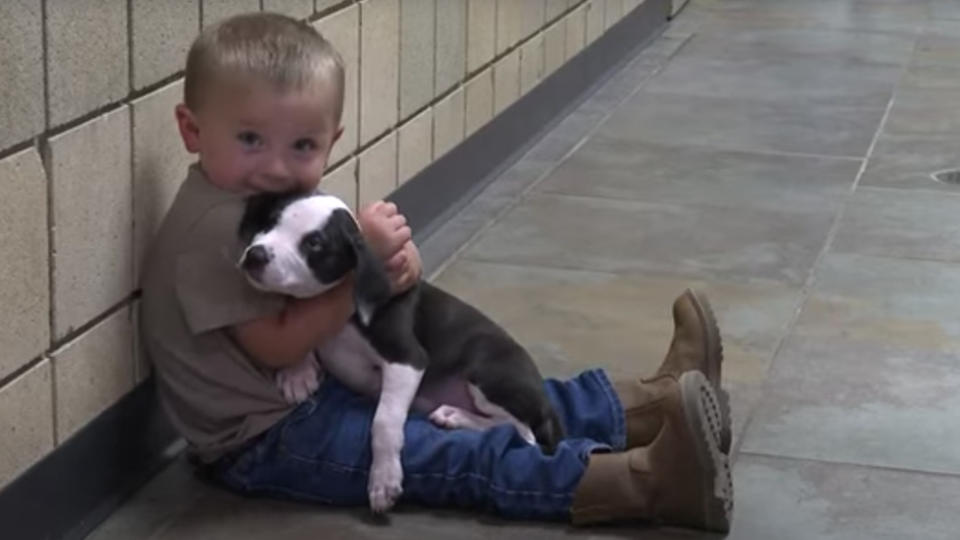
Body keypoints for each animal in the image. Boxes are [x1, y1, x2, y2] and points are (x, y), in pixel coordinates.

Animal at [236, 192, 564, 512]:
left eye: (314, 243)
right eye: (271, 221)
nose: (255, 255)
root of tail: (546, 405)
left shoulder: (408, 360)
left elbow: (384, 421)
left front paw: (384, 478)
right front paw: (297, 373)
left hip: (488, 373)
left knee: (523, 435)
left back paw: (457, 416)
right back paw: (454, 415)